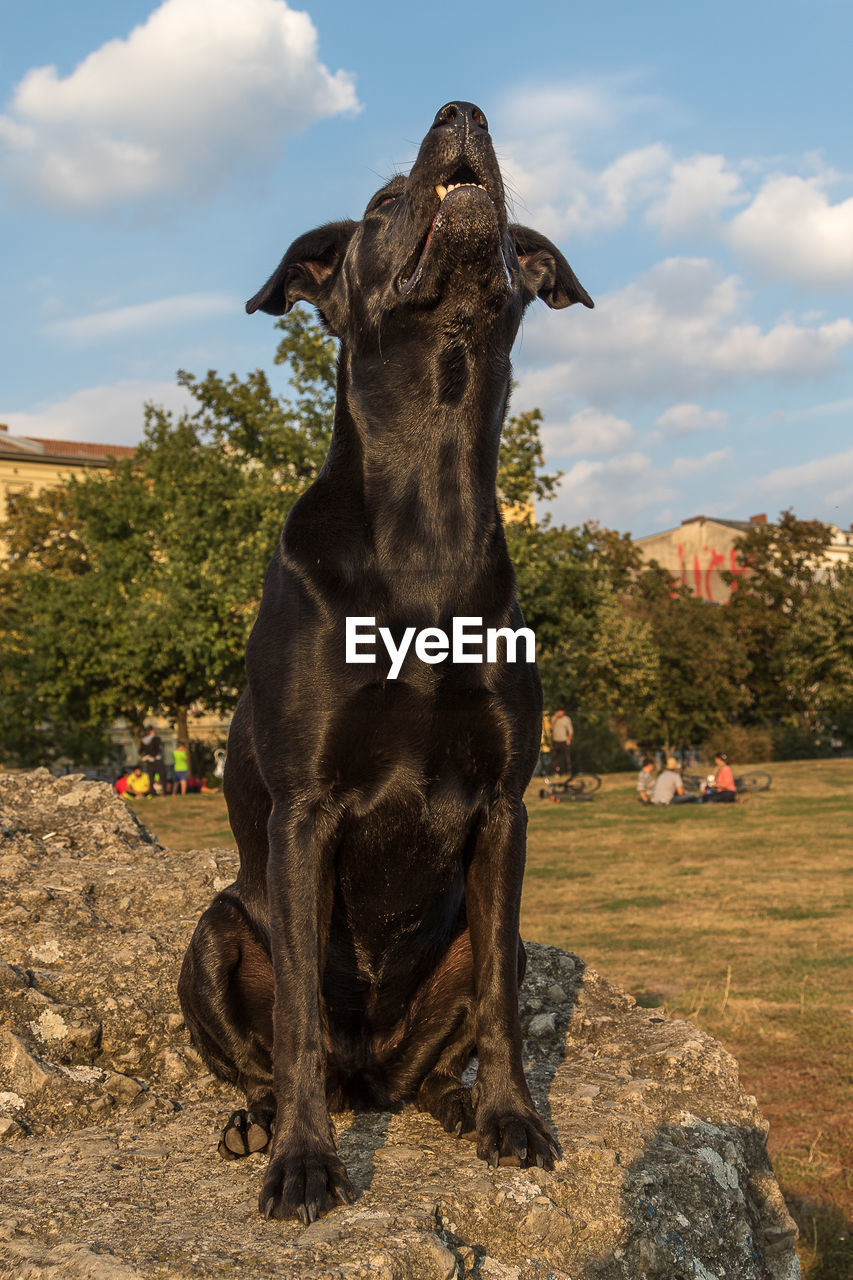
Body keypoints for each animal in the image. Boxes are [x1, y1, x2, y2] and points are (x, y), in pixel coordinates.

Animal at [178, 99, 591, 1218]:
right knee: (275, 1057)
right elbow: (298, 1020)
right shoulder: (305, 811)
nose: (462, 111)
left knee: (434, 1049)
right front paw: (304, 1162)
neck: (428, 512)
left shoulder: (504, 808)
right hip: (216, 933)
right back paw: (262, 1120)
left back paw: (450, 1100)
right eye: (377, 204)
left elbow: (497, 999)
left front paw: (511, 1117)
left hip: (483, 947)